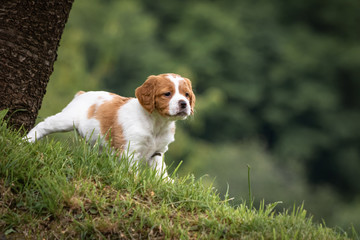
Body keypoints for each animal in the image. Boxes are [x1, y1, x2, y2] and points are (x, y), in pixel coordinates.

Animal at [25, 73, 195, 178]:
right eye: (167, 94)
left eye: (187, 95)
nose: (184, 104)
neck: (157, 123)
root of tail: (82, 94)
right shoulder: (130, 150)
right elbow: (133, 170)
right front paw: (136, 179)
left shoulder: (157, 152)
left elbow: (160, 171)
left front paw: (167, 183)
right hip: (66, 119)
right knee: (44, 125)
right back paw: (26, 141)